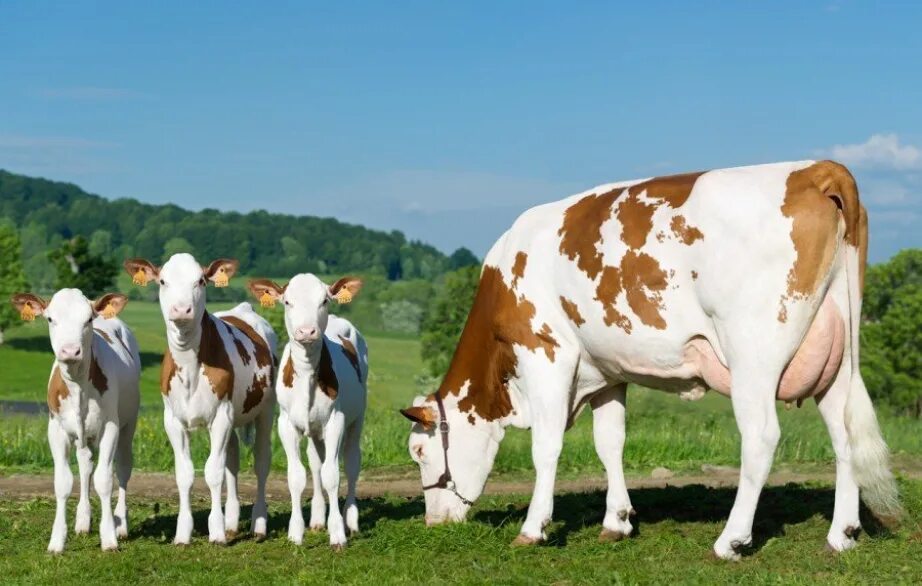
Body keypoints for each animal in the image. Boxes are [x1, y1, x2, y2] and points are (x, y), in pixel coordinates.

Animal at [9, 290, 140, 548]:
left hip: (129, 423)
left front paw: (109, 537)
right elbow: (63, 482)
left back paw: (121, 523)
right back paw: (83, 520)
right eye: (50, 319)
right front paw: (57, 540)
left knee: (122, 468)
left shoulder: (110, 427)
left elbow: (104, 480)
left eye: (87, 319)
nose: (70, 351)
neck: (78, 385)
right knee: (85, 464)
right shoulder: (56, 430)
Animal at [125, 253, 276, 540]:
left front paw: (215, 531)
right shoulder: (173, 420)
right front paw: (183, 533)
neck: (189, 369)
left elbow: (213, 471)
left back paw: (258, 524)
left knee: (261, 462)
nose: (181, 309)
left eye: (200, 281)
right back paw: (232, 521)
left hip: (266, 410)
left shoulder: (221, 416)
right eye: (163, 281)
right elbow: (185, 474)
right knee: (233, 460)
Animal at [252, 274, 370, 548]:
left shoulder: (336, 421)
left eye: (324, 300)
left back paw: (351, 520)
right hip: (315, 429)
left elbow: (332, 474)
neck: (306, 374)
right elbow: (297, 475)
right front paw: (296, 532)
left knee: (351, 463)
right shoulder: (286, 424)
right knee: (316, 463)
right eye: (287, 301)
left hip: (357, 418)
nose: (306, 331)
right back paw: (317, 518)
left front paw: (337, 533)